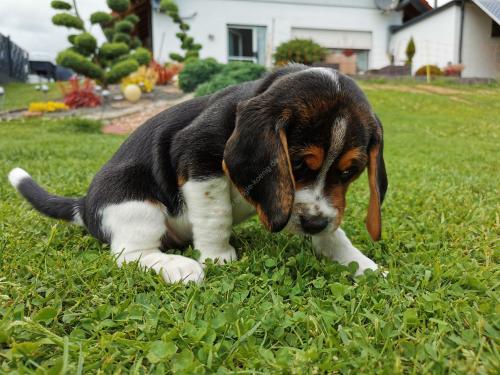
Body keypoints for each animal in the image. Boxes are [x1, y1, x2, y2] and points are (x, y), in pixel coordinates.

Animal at [9, 63, 388, 284]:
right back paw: (179, 267)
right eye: (296, 167)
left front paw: (361, 264)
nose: (313, 223)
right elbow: (215, 213)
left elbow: (336, 235)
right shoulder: (197, 156)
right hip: (134, 200)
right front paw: (218, 256)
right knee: (128, 254)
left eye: (350, 171)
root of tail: (85, 205)